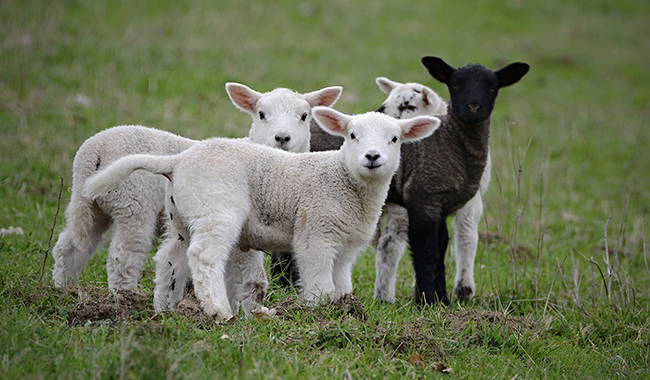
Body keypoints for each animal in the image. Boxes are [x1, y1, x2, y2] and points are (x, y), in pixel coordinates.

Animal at [51, 83, 342, 306]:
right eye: (261, 114)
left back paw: (63, 289)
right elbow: (251, 270)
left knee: (71, 246)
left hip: (92, 203)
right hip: (133, 203)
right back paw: (124, 298)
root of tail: (92, 151)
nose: (282, 138)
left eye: (304, 116)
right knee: (124, 255)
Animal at [79, 107, 436, 320]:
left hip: (181, 215)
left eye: (395, 138)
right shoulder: (316, 233)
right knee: (204, 256)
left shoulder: (346, 246)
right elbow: (319, 279)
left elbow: (341, 280)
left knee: (170, 258)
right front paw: (320, 312)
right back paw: (219, 310)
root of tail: (177, 161)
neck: (344, 179)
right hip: (217, 206)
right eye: (351, 135)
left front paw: (345, 308)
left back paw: (166, 309)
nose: (372, 157)